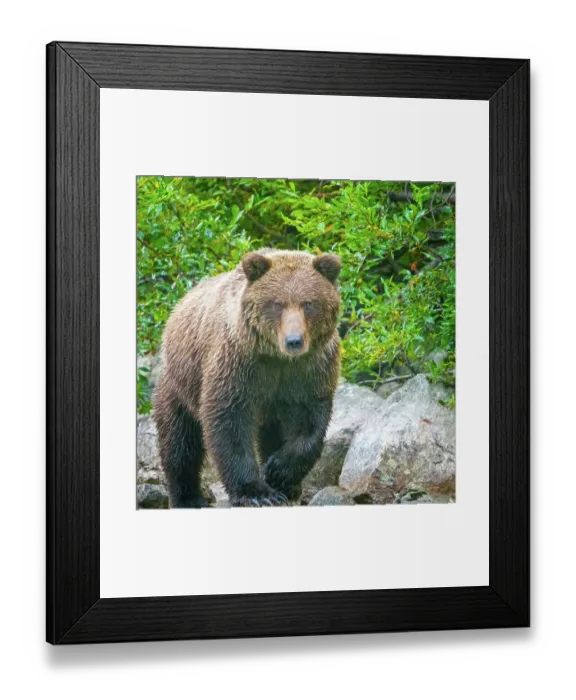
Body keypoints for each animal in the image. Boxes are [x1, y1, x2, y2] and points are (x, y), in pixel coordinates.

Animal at [152, 247, 342, 507]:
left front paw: (279, 472)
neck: (278, 358)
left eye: (308, 303)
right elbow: (228, 420)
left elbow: (309, 422)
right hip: (180, 382)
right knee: (179, 441)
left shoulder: (309, 370)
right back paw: (188, 497)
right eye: (277, 304)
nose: (294, 341)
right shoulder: (238, 364)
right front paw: (256, 492)